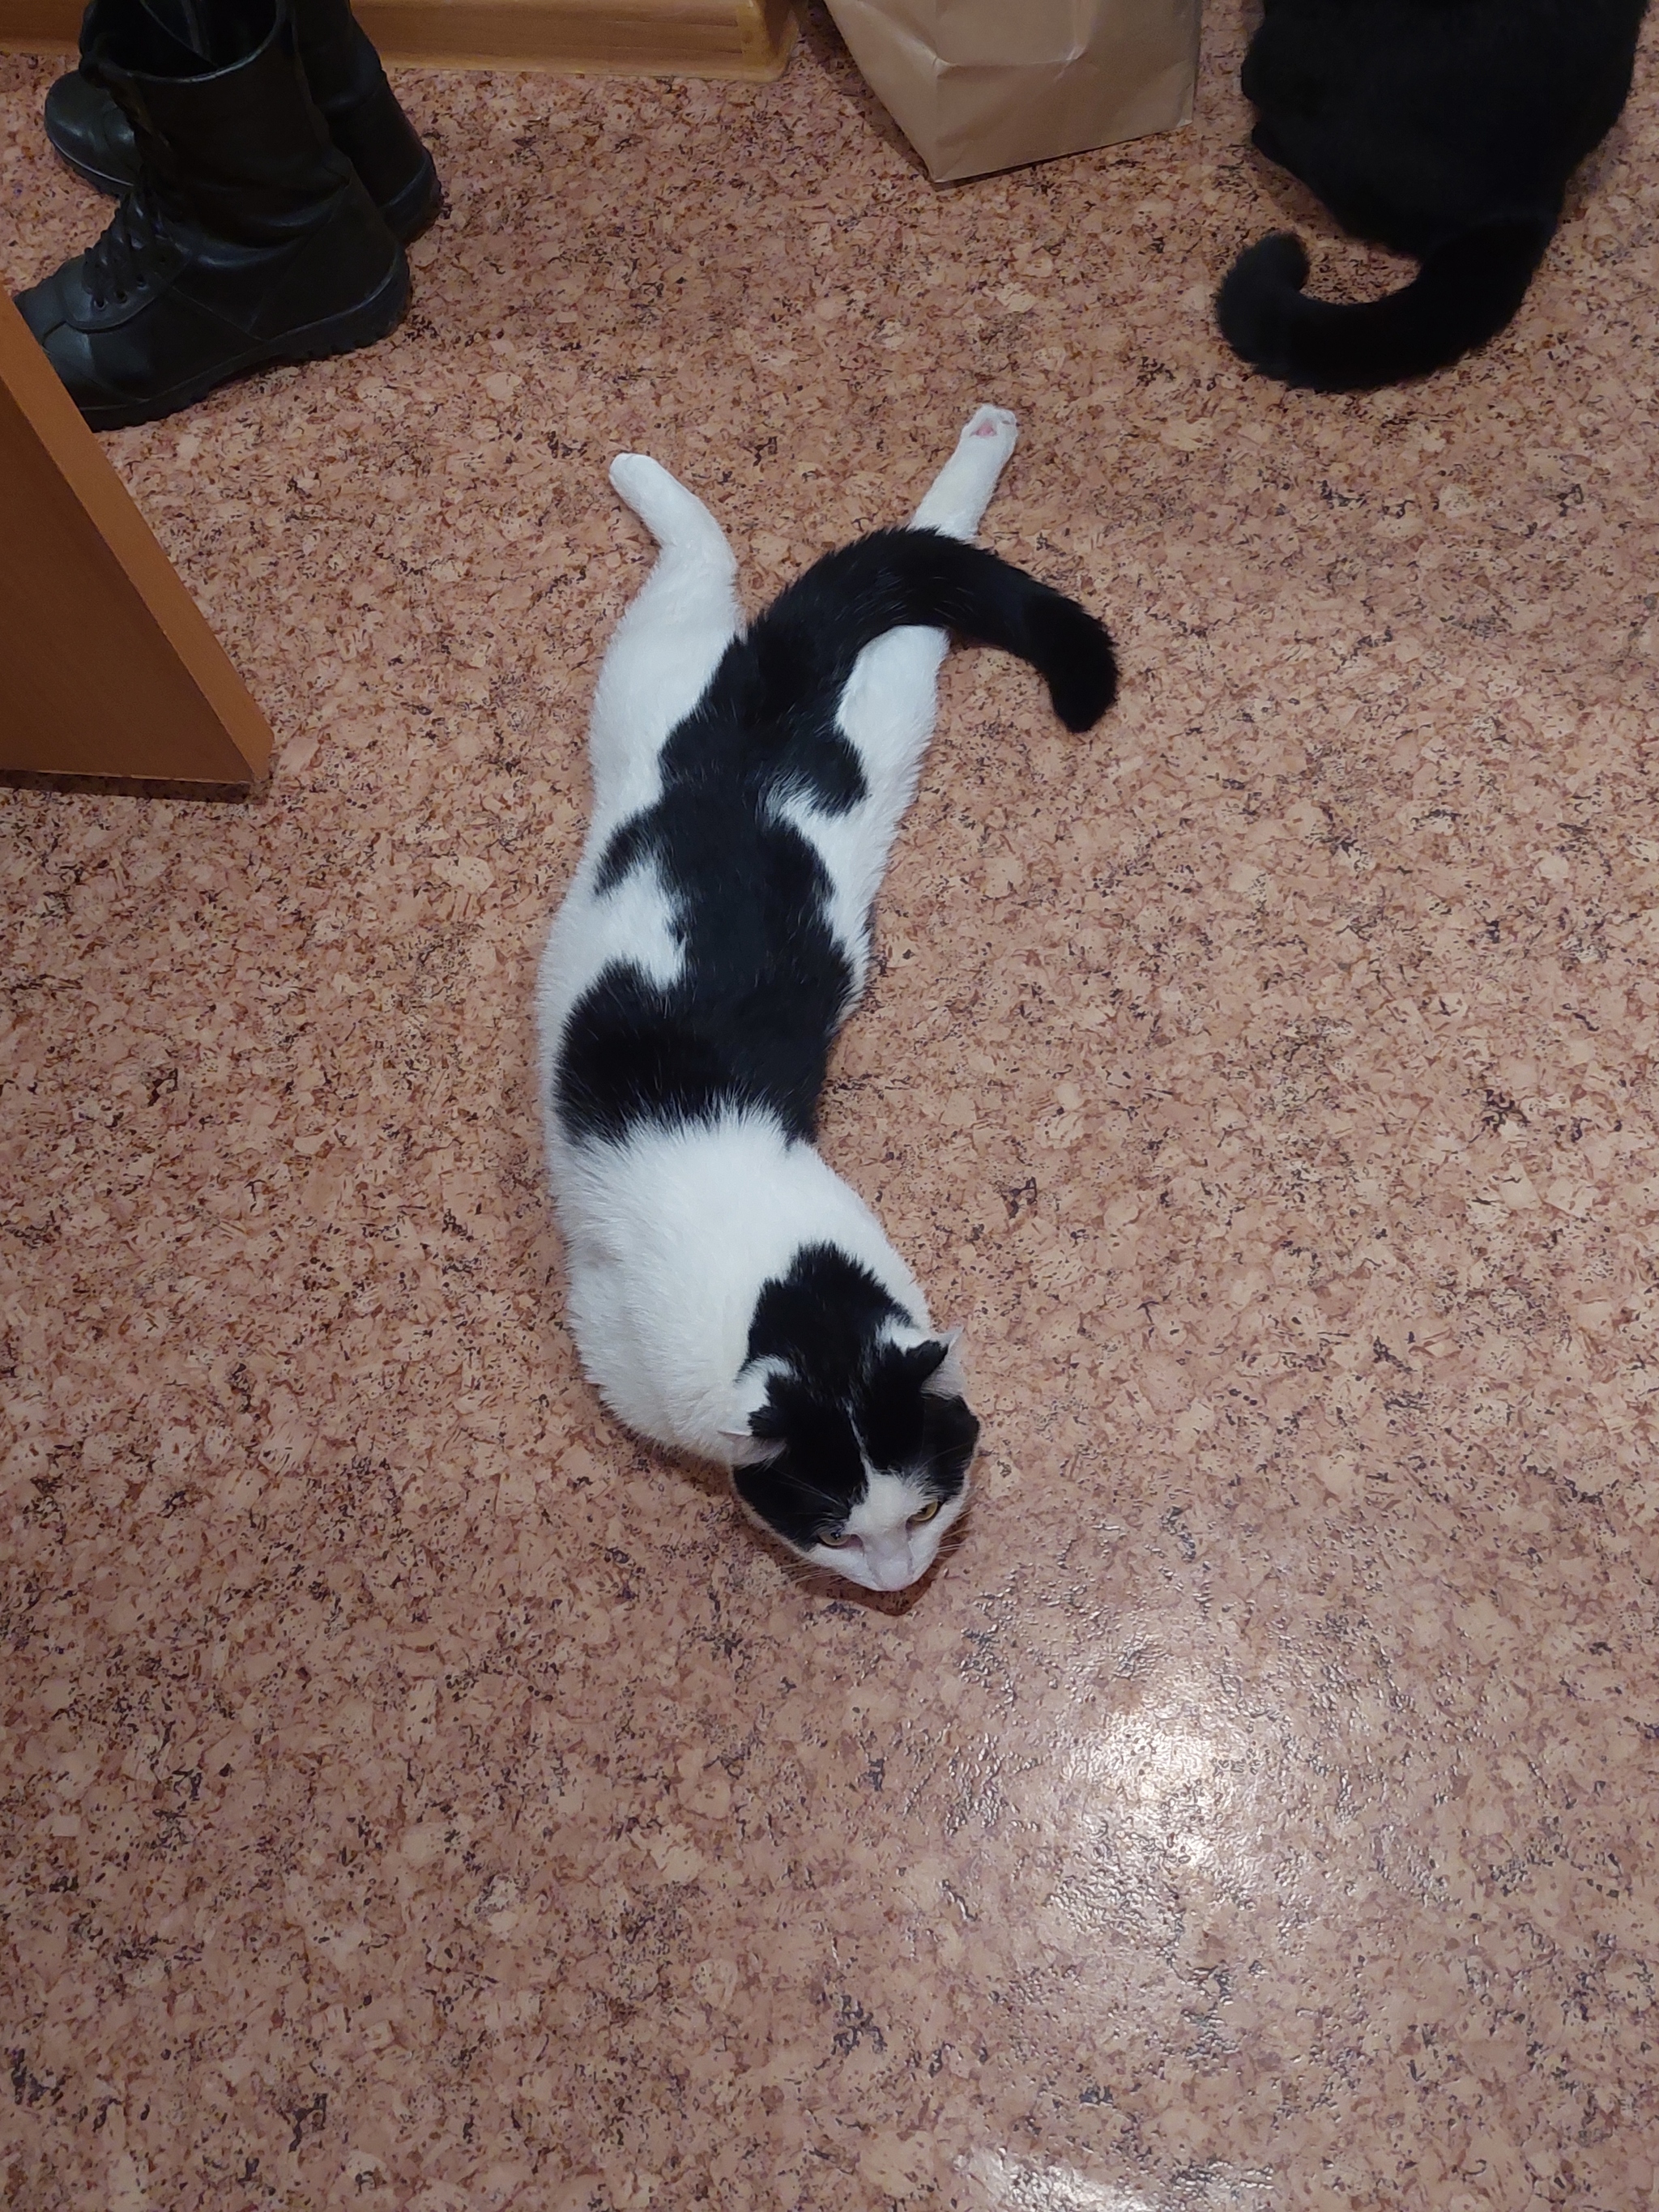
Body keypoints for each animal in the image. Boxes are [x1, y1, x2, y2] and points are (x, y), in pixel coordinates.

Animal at [535, 406, 1117, 1593]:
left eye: (929, 1504)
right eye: (834, 1528)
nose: (898, 1583)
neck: (795, 1304)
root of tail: (765, 714)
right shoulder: (610, 1344)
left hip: (874, 706)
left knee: (884, 573)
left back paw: (982, 435)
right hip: (669, 686)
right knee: (721, 566)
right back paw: (641, 472)